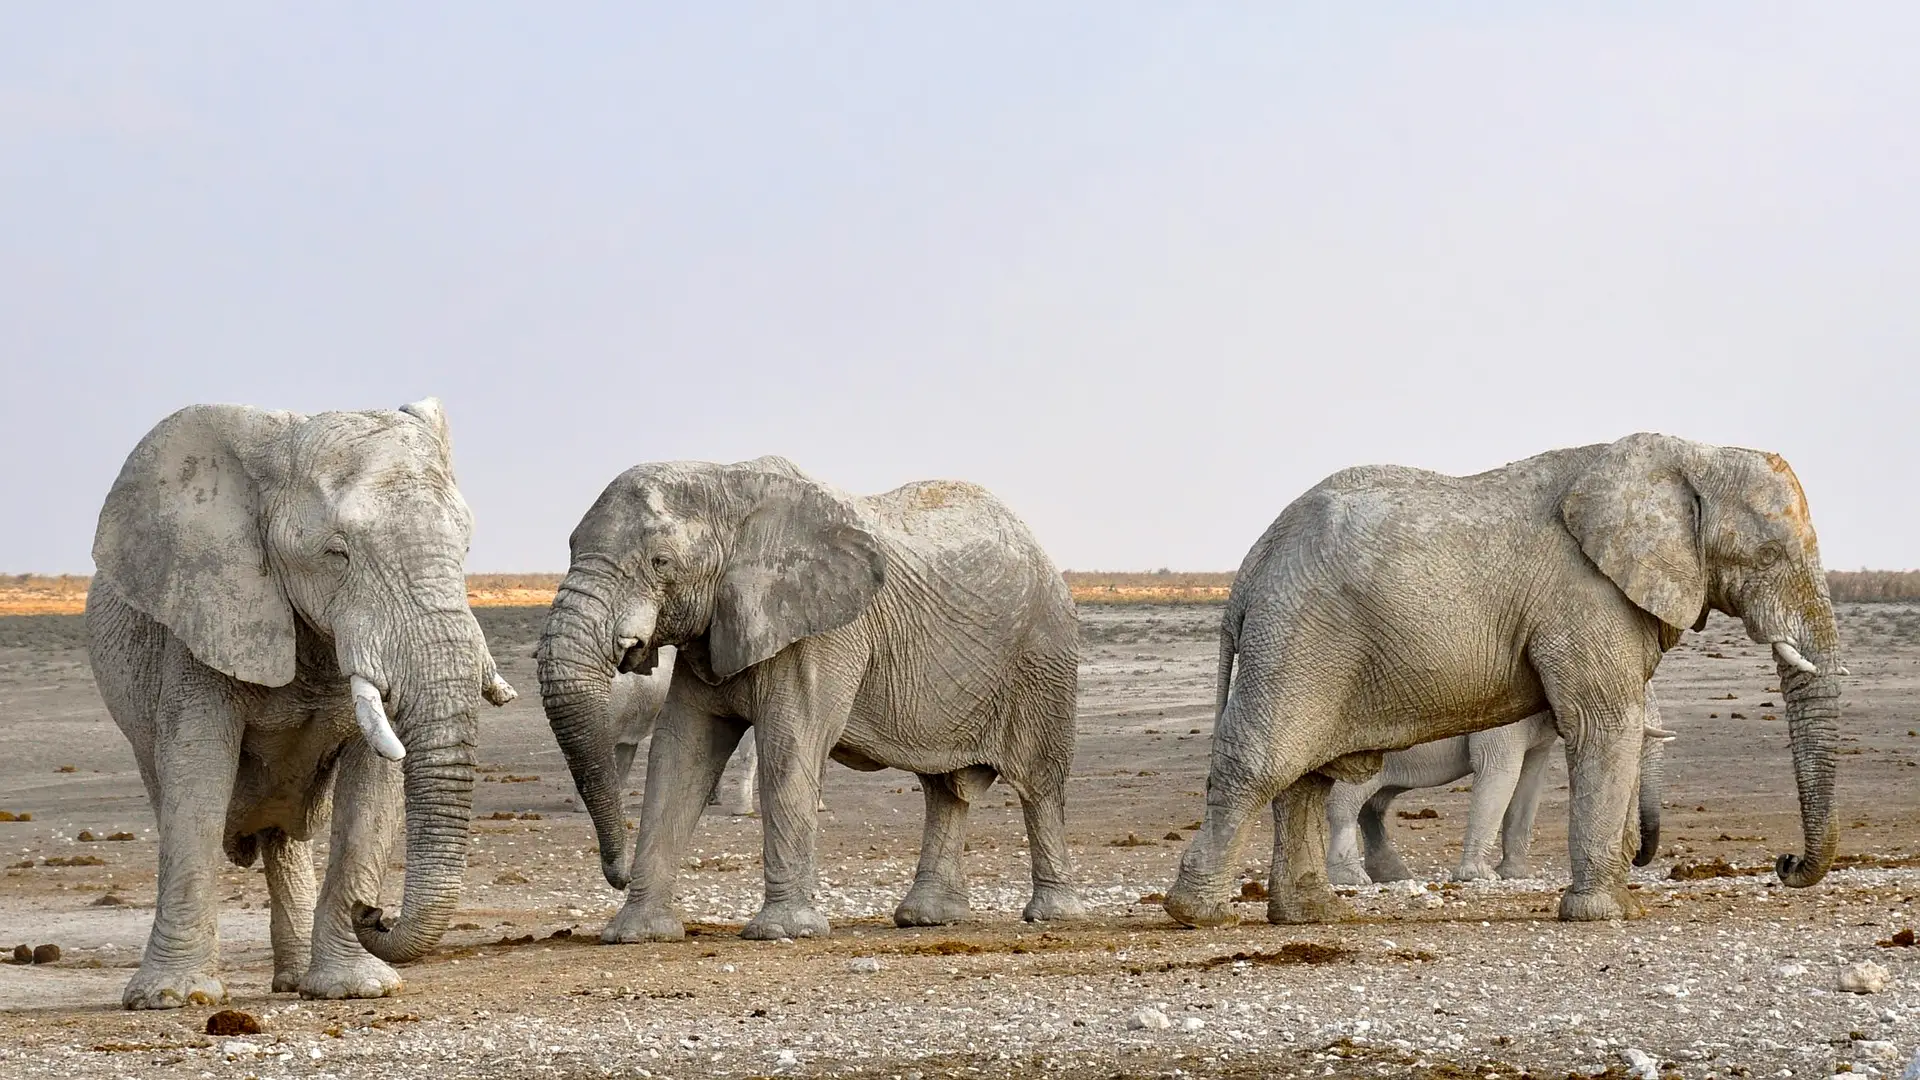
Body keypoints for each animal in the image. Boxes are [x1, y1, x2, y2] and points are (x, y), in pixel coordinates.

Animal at [86, 399, 515, 1009]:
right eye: (336, 554)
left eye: (466, 549)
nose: (376, 912)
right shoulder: (203, 617)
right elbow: (197, 773)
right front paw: (172, 998)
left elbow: (373, 787)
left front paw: (356, 989)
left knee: (283, 839)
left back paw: (294, 982)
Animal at [537, 456, 1085, 942]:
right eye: (570, 546)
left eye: (661, 562)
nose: (618, 875)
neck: (729, 483)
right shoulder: (713, 630)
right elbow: (681, 753)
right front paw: (637, 934)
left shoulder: (825, 632)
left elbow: (789, 743)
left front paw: (783, 932)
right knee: (945, 790)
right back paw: (928, 919)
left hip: (1045, 655)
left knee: (1039, 782)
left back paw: (1052, 915)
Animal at [1324, 689, 1675, 886]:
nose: (1637, 857)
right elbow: (1500, 771)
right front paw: (1480, 876)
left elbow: (1529, 781)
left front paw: (1515, 875)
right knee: (1347, 802)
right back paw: (1352, 879)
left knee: (1373, 806)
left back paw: (1393, 876)